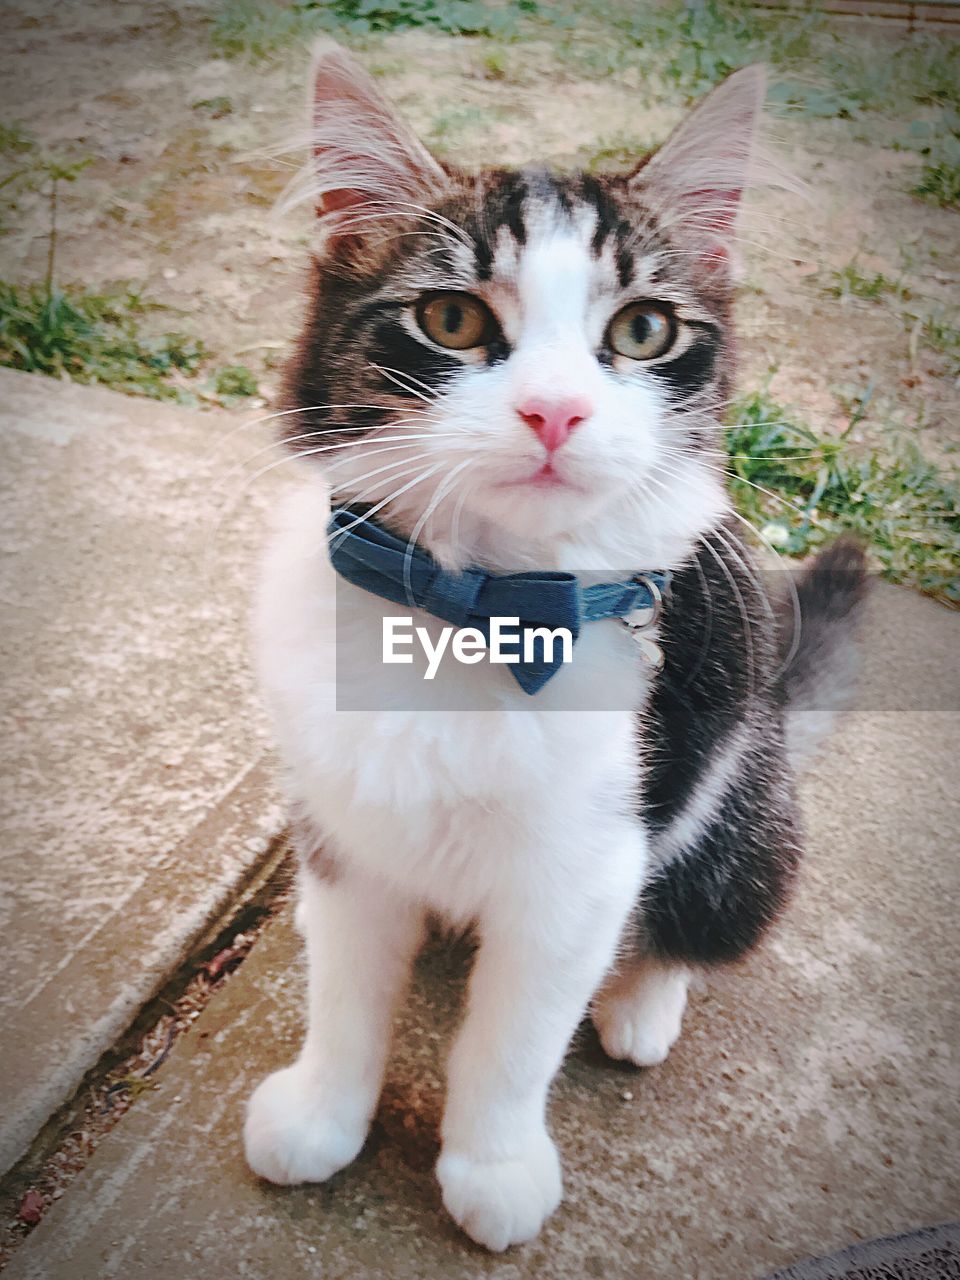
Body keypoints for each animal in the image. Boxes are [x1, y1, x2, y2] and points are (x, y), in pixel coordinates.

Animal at [241, 42, 870, 1249]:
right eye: (450, 318)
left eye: (642, 331)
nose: (554, 414)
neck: (468, 603)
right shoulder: (342, 819)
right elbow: (345, 983)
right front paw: (323, 1111)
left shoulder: (589, 857)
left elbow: (515, 1033)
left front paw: (492, 1166)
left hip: (740, 802)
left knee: (700, 922)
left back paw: (643, 1001)